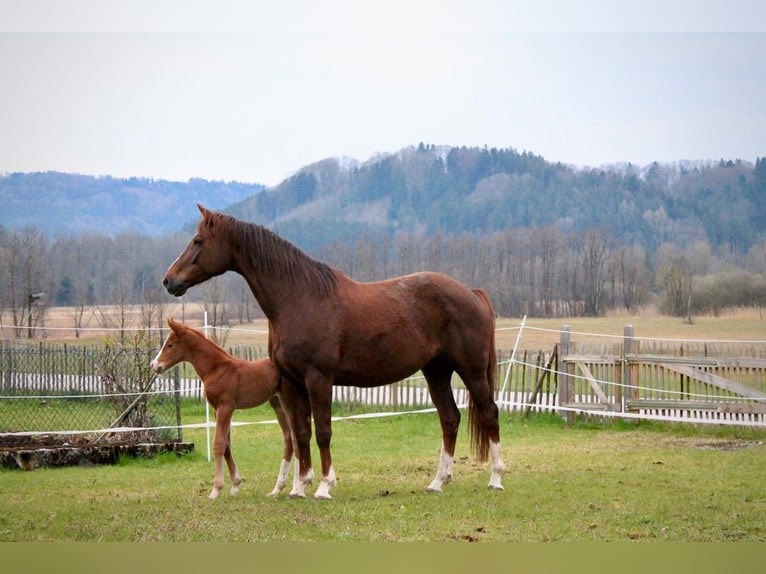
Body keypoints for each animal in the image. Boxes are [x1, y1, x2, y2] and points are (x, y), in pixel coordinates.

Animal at [150, 317, 296, 499]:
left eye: (170, 345)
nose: (154, 365)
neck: (216, 369)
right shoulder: (216, 409)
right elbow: (227, 445)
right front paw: (235, 485)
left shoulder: (226, 407)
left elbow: (219, 443)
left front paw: (216, 489)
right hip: (277, 405)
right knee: (290, 438)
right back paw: (278, 489)